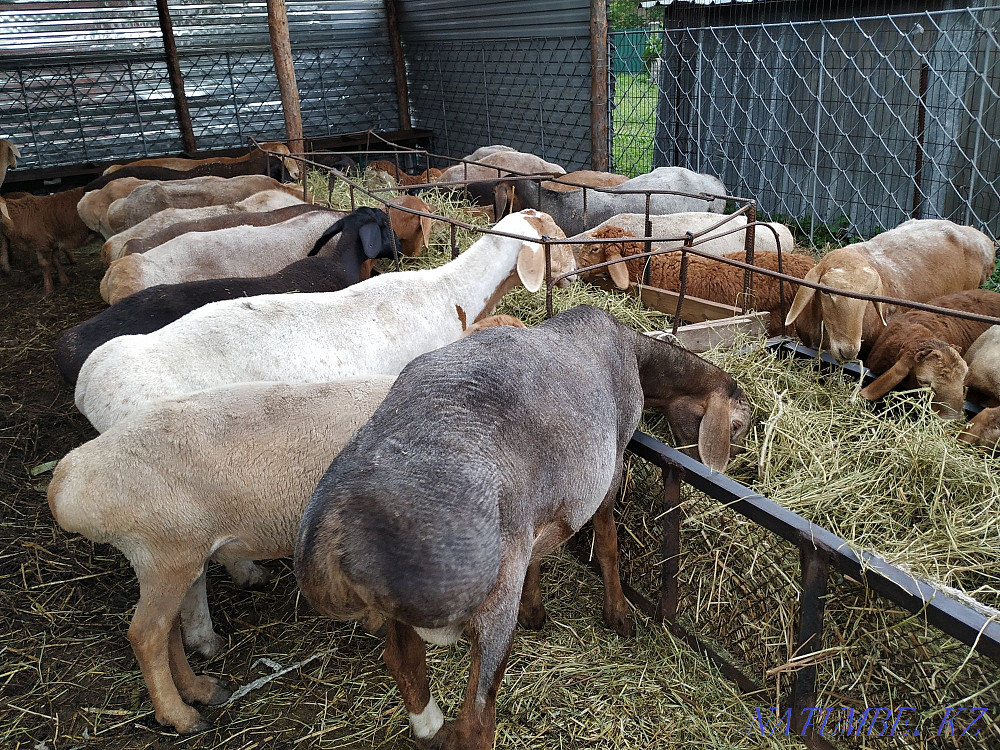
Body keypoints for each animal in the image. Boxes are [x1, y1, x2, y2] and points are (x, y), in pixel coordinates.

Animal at [293, 304, 750, 750]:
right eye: (739, 425)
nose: (741, 468)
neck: (638, 354)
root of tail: (336, 536)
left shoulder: (535, 508)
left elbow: (538, 553)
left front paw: (535, 609)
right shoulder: (613, 460)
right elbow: (607, 541)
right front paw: (618, 613)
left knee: (404, 661)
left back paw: (430, 728)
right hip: (490, 598)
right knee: (475, 725)